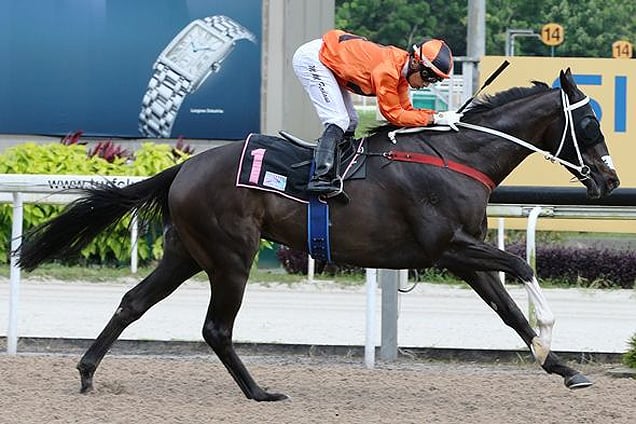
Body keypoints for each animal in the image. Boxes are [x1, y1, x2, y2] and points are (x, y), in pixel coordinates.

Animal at [17, 68, 620, 400]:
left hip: (185, 252)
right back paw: (260, 393)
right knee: (216, 328)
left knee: (133, 302)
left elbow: (508, 311)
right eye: (591, 123)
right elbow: (520, 267)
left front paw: (562, 367)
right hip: (230, 257)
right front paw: (551, 333)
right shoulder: (447, 246)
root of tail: (184, 167)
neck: (456, 155)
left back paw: (87, 373)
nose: (611, 181)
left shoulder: (463, 255)